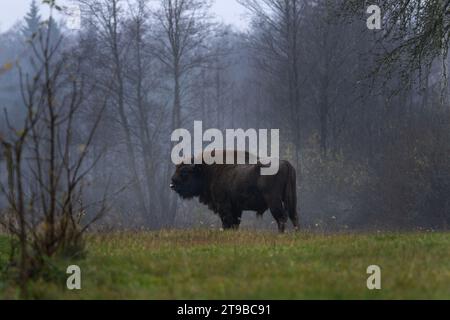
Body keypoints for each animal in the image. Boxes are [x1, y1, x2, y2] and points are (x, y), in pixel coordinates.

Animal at [169, 150, 298, 232]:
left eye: (184, 172)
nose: (172, 184)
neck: (207, 171)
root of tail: (286, 163)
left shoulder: (224, 206)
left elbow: (228, 223)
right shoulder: (236, 208)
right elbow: (235, 223)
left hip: (273, 200)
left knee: (281, 217)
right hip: (290, 198)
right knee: (293, 216)